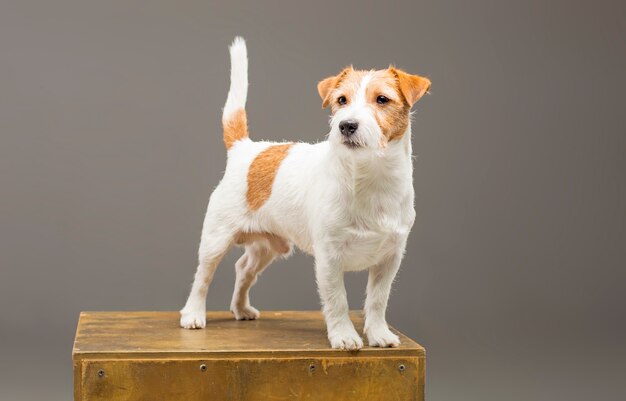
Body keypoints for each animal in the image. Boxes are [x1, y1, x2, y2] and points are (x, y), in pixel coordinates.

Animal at [180, 38, 428, 350]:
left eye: (382, 99)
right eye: (341, 100)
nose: (346, 125)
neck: (368, 177)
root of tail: (244, 148)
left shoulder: (390, 258)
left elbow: (377, 300)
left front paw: (378, 333)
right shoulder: (329, 257)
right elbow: (337, 300)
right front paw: (344, 336)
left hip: (268, 246)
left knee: (243, 267)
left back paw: (241, 308)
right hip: (216, 239)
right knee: (203, 276)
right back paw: (193, 314)